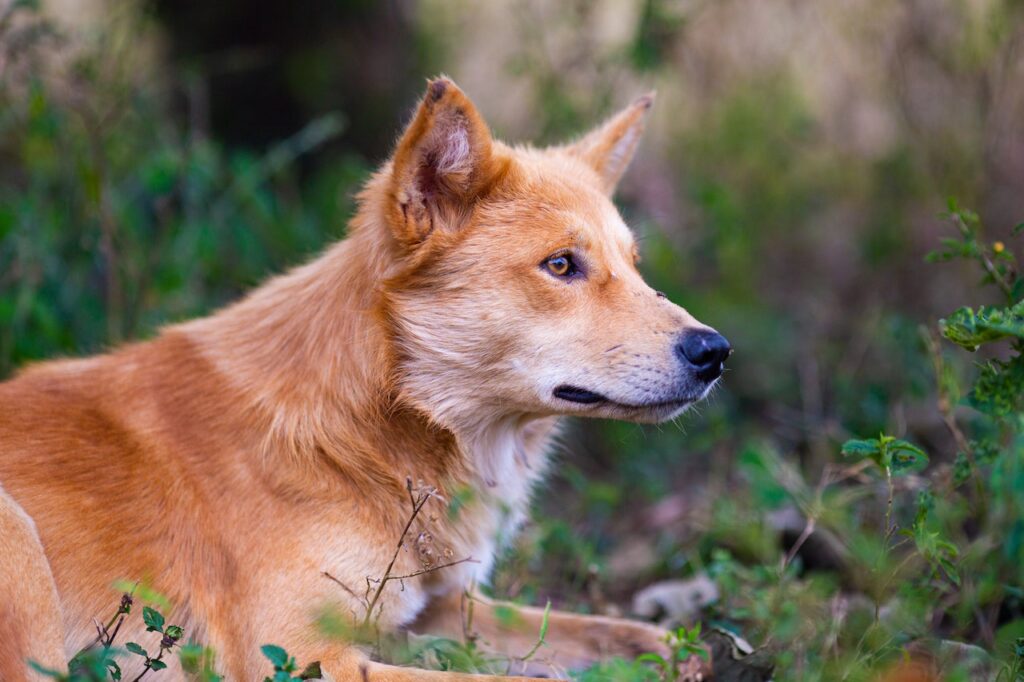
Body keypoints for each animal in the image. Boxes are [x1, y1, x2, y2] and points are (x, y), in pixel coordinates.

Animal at [2, 76, 729, 675]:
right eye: (560, 265)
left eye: (634, 266)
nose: (715, 351)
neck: (376, 424)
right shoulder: (300, 657)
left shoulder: (440, 610)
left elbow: (646, 642)